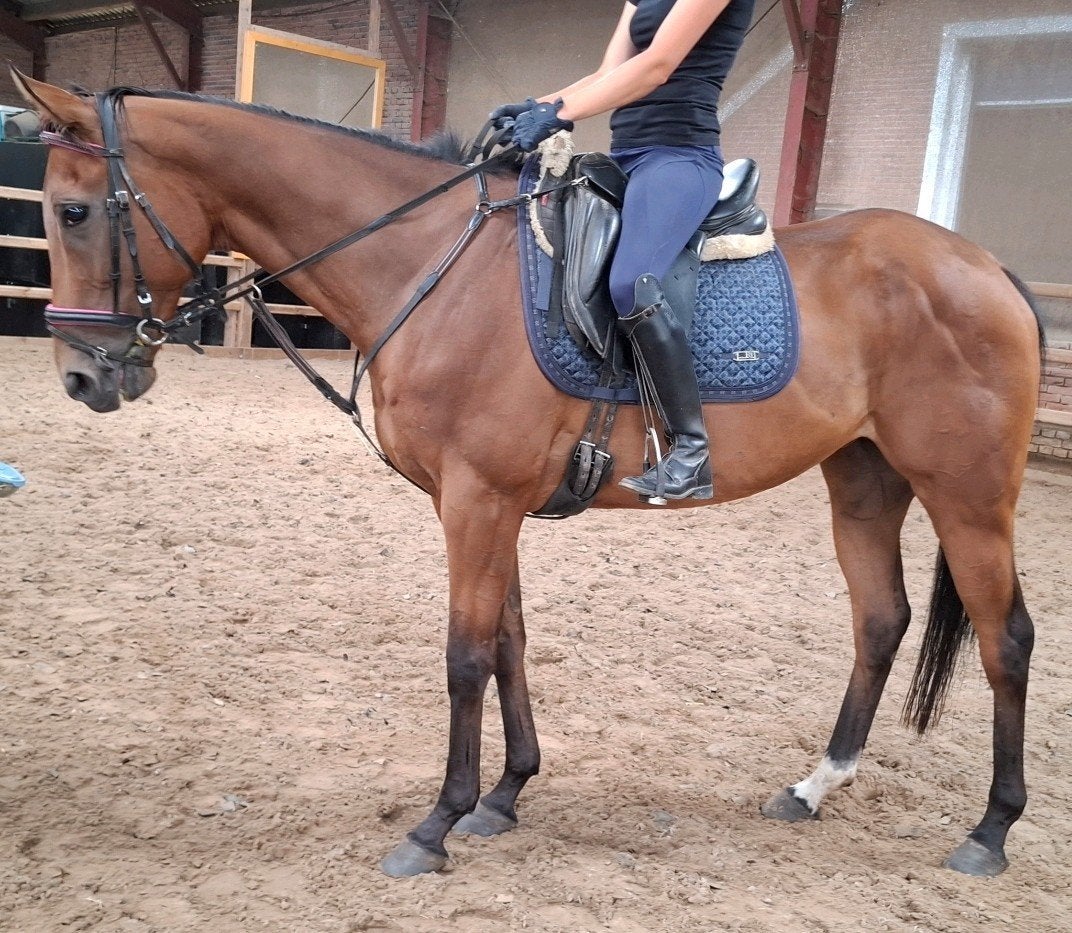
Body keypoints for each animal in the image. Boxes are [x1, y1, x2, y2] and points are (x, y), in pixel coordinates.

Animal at [13, 71, 1043, 879]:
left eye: (73, 210)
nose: (80, 377)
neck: (425, 263)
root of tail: (986, 266)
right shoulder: (483, 501)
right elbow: (509, 639)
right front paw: (503, 795)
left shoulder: (476, 499)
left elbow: (465, 654)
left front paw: (435, 824)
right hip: (864, 478)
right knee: (880, 620)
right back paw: (815, 784)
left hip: (968, 494)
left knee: (1007, 639)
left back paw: (990, 830)